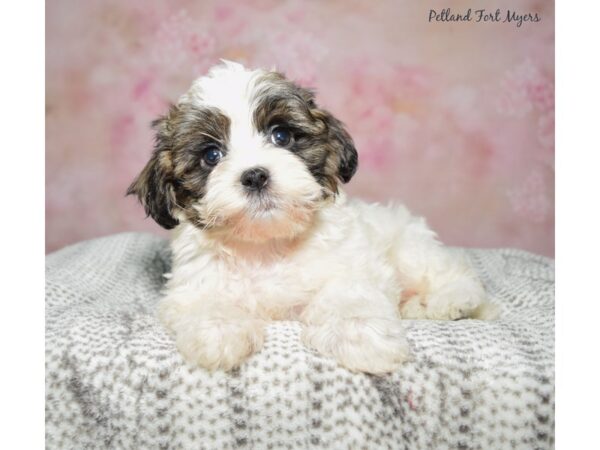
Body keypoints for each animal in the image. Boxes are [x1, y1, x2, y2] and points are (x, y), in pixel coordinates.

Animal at [127, 60, 496, 376]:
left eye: (281, 136)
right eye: (211, 155)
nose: (255, 176)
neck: (267, 244)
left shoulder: (350, 266)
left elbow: (348, 296)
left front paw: (361, 337)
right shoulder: (192, 286)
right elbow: (206, 301)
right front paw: (219, 332)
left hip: (410, 248)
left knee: (456, 276)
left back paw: (449, 302)